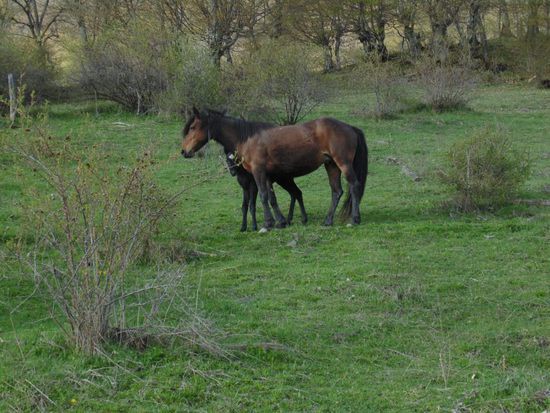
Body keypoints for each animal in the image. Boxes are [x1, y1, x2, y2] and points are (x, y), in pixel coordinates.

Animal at [235, 117, 368, 229]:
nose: (233, 171)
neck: (250, 141)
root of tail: (350, 127)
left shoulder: (259, 172)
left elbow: (264, 196)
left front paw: (269, 223)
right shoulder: (266, 176)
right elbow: (271, 198)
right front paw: (279, 221)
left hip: (343, 164)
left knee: (354, 186)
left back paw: (355, 219)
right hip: (331, 166)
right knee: (336, 191)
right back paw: (328, 221)